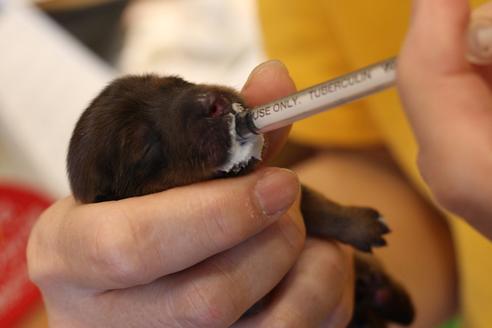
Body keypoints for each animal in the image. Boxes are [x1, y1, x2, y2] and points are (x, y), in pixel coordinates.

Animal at [67, 75, 414, 326]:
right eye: (145, 147)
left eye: (176, 82)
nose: (212, 104)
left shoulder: (295, 189)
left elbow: (318, 206)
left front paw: (361, 224)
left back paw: (384, 293)